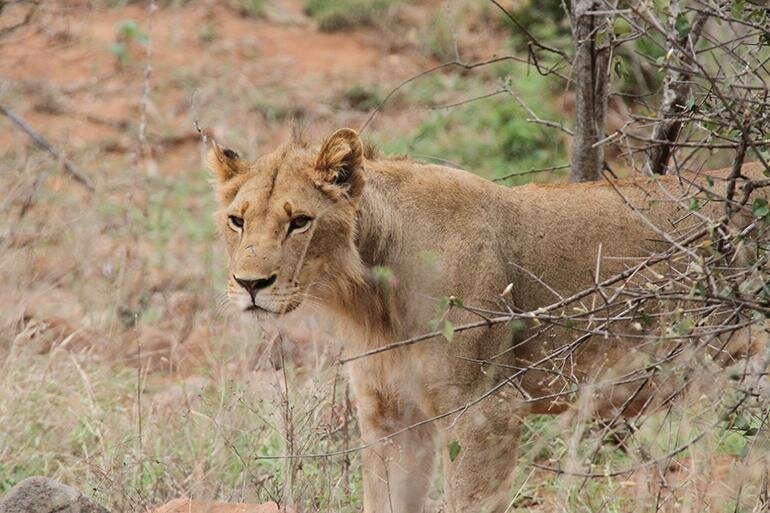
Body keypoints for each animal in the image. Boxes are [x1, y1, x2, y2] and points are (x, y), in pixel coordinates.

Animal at [207, 128, 764, 512]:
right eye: (238, 220)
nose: (250, 284)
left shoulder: (486, 411)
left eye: (300, 221)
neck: (370, 294)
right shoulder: (390, 415)